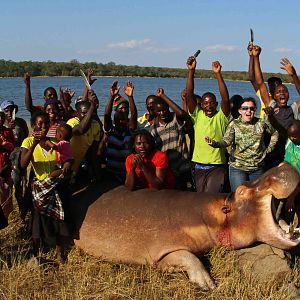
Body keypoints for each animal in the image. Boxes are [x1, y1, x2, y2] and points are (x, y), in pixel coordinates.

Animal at [75, 162, 300, 290]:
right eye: (242, 191)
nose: (282, 164)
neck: (210, 214)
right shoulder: (161, 250)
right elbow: (188, 257)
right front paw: (207, 284)